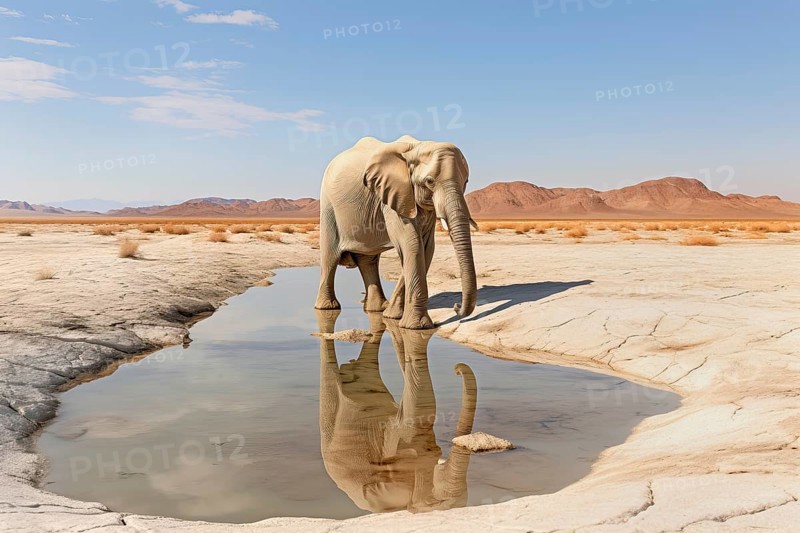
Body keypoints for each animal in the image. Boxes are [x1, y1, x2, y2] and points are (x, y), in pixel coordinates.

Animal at [314, 136, 478, 330]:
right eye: (429, 181)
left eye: (466, 181)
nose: (456, 305)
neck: (418, 147)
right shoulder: (393, 194)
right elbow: (412, 244)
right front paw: (417, 326)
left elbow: (425, 248)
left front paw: (392, 317)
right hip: (328, 206)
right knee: (330, 258)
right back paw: (327, 308)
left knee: (368, 261)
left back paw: (378, 309)